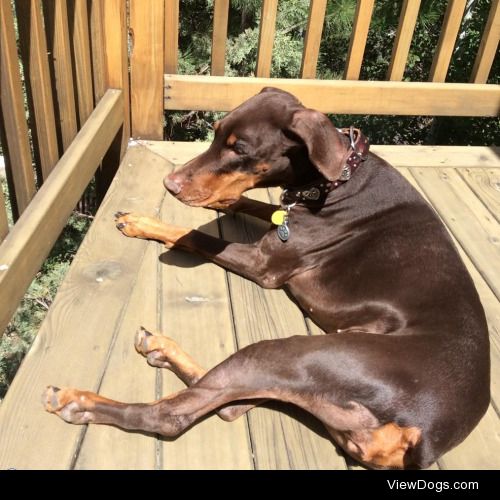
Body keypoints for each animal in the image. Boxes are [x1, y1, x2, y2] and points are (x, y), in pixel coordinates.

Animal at [43, 87, 488, 468]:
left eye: (239, 148)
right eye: (215, 133)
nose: (170, 184)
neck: (338, 179)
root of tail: (422, 435)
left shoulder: (263, 264)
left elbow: (194, 236)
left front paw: (147, 222)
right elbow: (255, 203)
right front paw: (218, 199)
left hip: (298, 353)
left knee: (175, 415)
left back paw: (81, 402)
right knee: (229, 403)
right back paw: (160, 348)